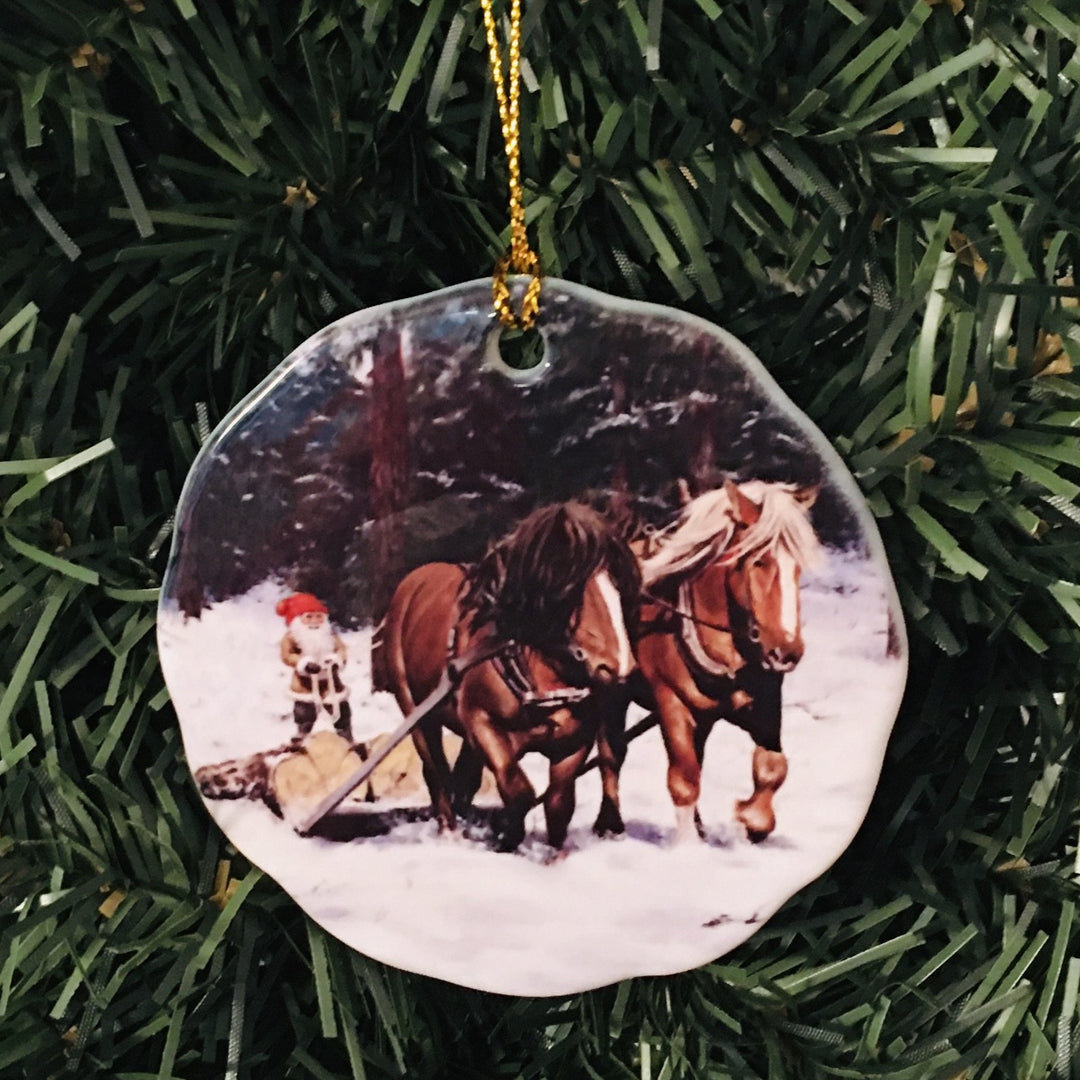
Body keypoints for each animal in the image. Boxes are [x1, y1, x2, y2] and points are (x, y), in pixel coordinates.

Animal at [375, 503, 635, 851]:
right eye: (571, 589)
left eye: (620, 584)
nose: (618, 666)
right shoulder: (483, 723)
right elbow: (518, 791)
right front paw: (505, 835)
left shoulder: (574, 739)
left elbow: (558, 804)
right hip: (415, 709)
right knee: (436, 770)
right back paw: (450, 830)